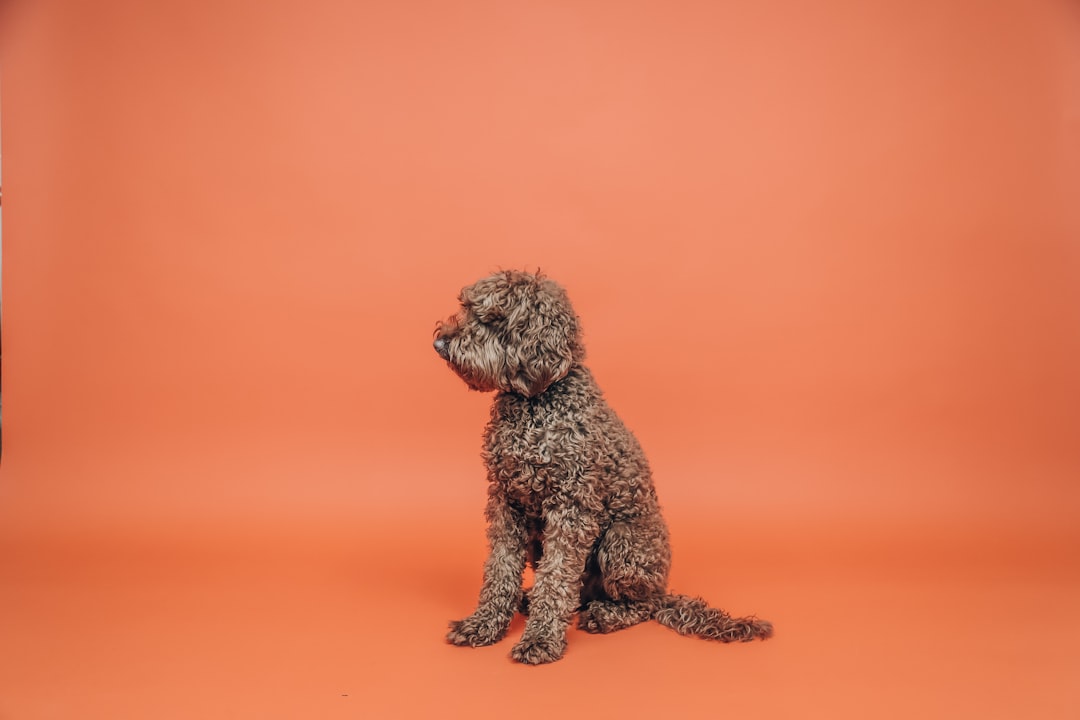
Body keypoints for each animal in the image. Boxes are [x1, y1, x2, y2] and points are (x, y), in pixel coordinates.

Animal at [429, 268, 768, 664]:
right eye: (466, 309)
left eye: (494, 320)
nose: (440, 343)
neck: (536, 405)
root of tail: (662, 588)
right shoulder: (506, 502)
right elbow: (500, 568)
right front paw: (484, 624)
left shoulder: (571, 508)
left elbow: (557, 578)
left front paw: (540, 640)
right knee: (581, 592)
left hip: (621, 544)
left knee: (640, 605)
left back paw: (605, 615)